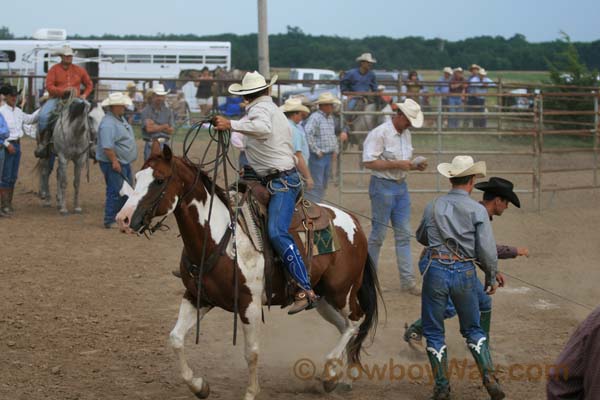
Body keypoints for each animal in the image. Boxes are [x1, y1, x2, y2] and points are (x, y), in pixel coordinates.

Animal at [116, 141, 380, 400]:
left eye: (159, 180)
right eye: (137, 177)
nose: (123, 219)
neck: (219, 237)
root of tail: (354, 222)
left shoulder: (249, 305)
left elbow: (251, 352)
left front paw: (251, 392)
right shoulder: (197, 297)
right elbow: (176, 338)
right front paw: (199, 386)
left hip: (342, 292)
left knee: (356, 322)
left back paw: (330, 374)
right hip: (322, 298)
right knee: (345, 327)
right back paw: (340, 379)